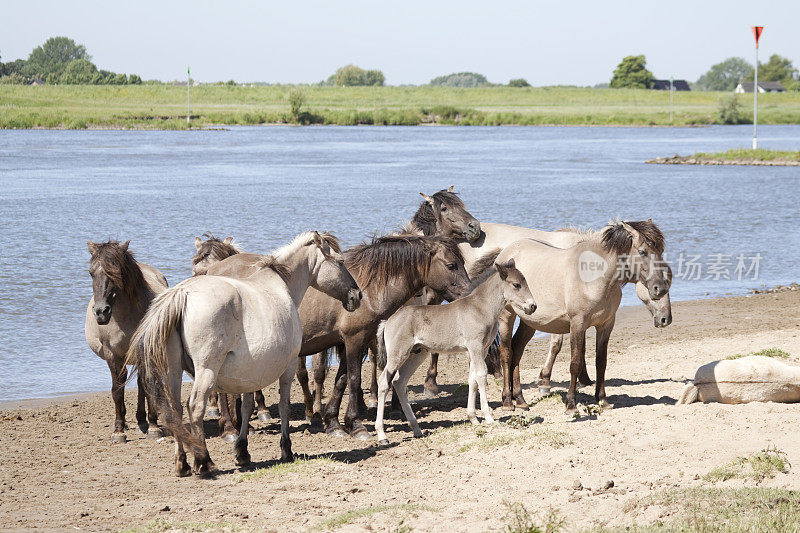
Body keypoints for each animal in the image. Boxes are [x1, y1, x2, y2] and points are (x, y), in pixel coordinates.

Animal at [85, 240, 167, 440]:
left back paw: (144, 422)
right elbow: (117, 389)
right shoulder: (112, 355)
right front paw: (118, 430)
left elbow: (146, 385)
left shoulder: (144, 350)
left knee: (142, 384)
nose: (101, 312)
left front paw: (154, 427)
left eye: (117, 273)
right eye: (91, 272)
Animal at [127, 231, 360, 476]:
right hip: (206, 370)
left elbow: (247, 408)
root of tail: (183, 293)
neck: (281, 285)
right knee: (196, 407)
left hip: (174, 369)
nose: (357, 295)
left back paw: (182, 464)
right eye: (340, 262)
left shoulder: (249, 373)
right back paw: (204, 461)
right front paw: (286, 450)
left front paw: (242, 452)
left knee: (176, 409)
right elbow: (284, 407)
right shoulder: (287, 368)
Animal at [376, 251, 536, 442]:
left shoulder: (480, 350)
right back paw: (382, 435)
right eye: (516, 284)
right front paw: (488, 417)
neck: (480, 308)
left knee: (399, 382)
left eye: (525, 281)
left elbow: (472, 379)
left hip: (417, 354)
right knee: (384, 381)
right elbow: (481, 376)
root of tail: (388, 320)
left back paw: (417, 429)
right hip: (397, 353)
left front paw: (473, 418)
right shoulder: (475, 346)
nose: (533, 306)